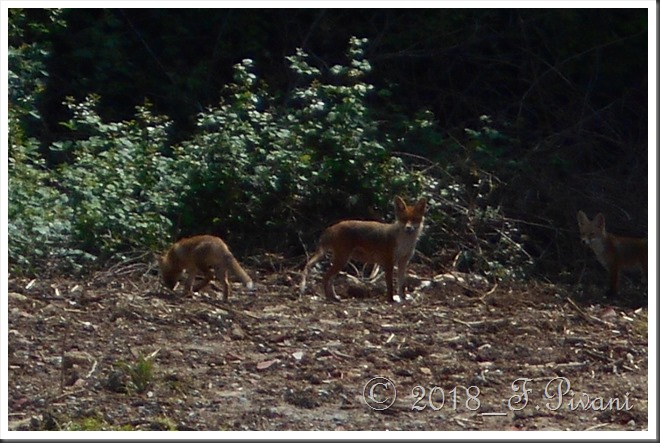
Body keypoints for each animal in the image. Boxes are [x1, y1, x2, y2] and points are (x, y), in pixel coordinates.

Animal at [300, 197, 428, 304]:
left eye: (414, 219)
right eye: (403, 219)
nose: (408, 228)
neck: (404, 242)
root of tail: (332, 227)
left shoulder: (403, 262)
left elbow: (402, 285)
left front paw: (403, 299)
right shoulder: (389, 262)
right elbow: (390, 285)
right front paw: (390, 300)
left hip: (341, 260)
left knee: (329, 279)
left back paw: (334, 297)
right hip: (342, 260)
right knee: (325, 278)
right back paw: (329, 298)